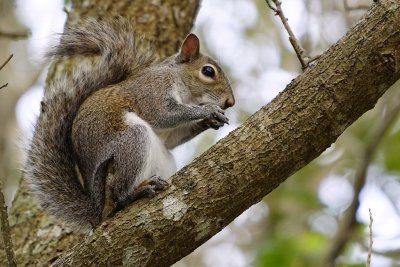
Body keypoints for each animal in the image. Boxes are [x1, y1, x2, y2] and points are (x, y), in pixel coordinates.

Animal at [24, 17, 234, 233]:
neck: (181, 86)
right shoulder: (152, 91)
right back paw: (136, 192)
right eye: (208, 71)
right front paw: (208, 110)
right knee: (119, 196)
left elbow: (172, 139)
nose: (230, 102)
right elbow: (163, 114)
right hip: (132, 141)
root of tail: (98, 211)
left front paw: (211, 121)